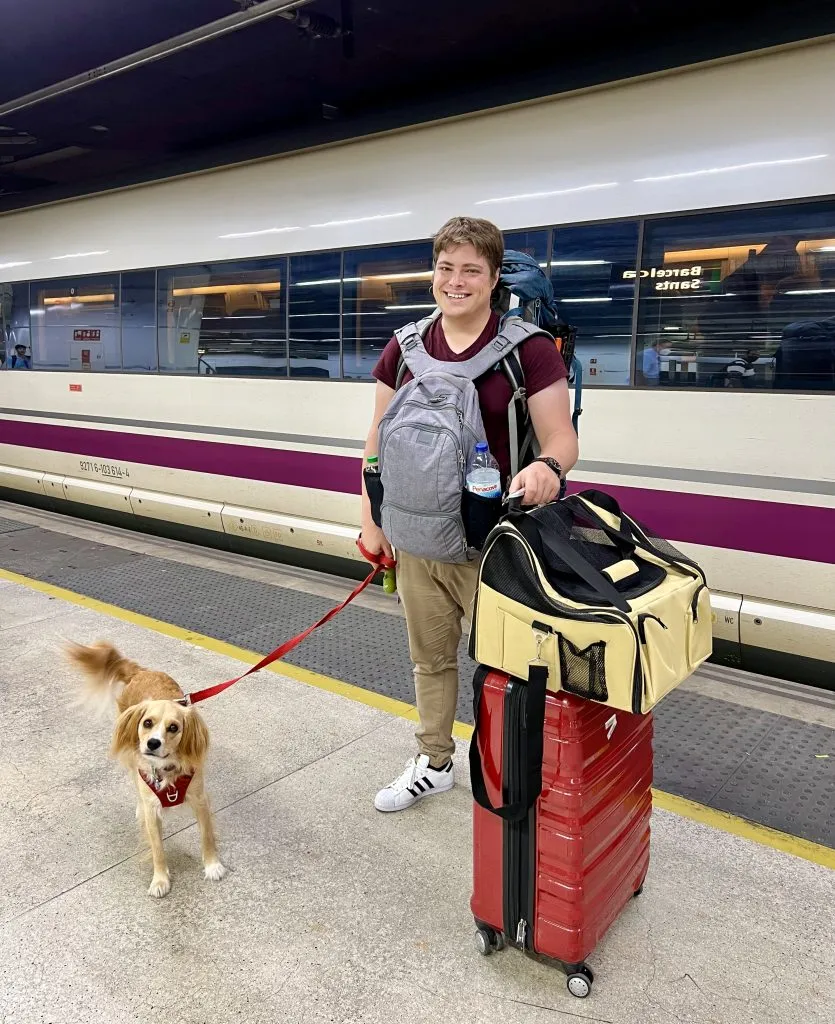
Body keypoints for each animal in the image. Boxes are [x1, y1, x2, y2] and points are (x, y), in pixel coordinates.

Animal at [67, 638, 225, 897]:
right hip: (133, 763)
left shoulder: (200, 799)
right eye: (147, 723)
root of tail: (140, 671)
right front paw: (160, 880)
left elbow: (207, 835)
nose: (152, 743)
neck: (167, 768)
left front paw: (213, 865)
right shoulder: (153, 810)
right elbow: (158, 849)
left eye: (174, 727)